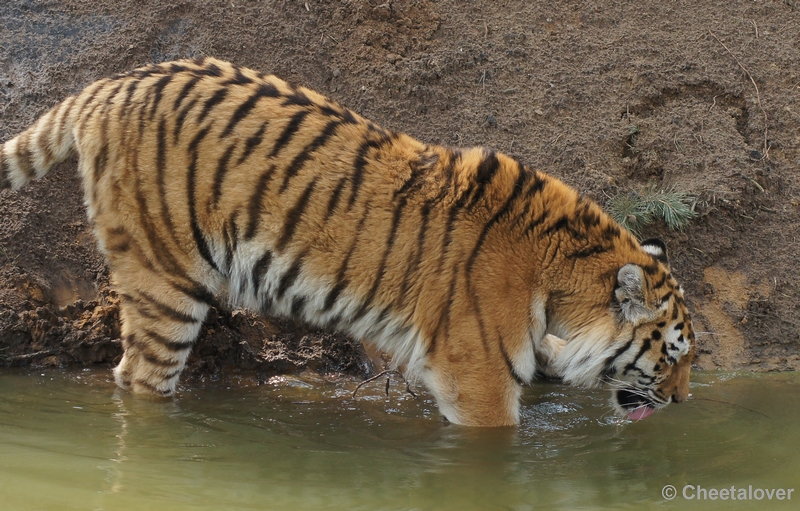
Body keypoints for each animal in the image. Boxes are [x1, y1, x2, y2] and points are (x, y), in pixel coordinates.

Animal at [0, 57, 692, 428]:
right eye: (672, 354)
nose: (684, 402)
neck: (562, 278)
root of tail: (109, 85)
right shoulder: (478, 376)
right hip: (164, 282)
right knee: (139, 378)